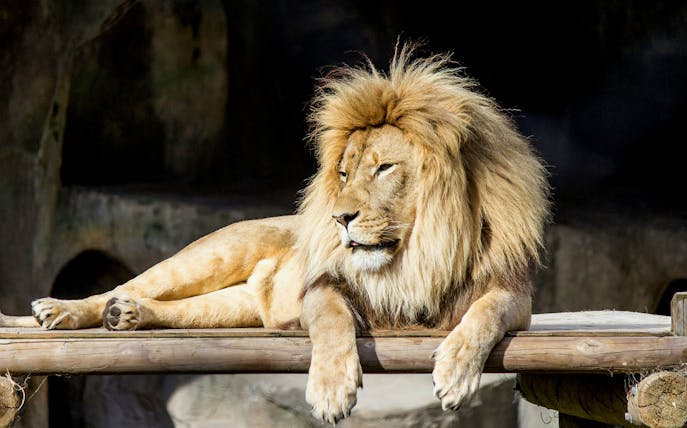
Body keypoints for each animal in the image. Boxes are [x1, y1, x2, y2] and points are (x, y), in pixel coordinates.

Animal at [5, 44, 549, 424]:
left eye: (384, 168)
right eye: (344, 173)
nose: (339, 218)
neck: (415, 255)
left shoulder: (513, 297)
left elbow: (482, 316)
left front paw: (456, 372)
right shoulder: (323, 289)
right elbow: (332, 321)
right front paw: (330, 391)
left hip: (232, 308)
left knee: (172, 307)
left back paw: (130, 316)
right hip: (210, 254)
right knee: (124, 284)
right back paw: (61, 310)